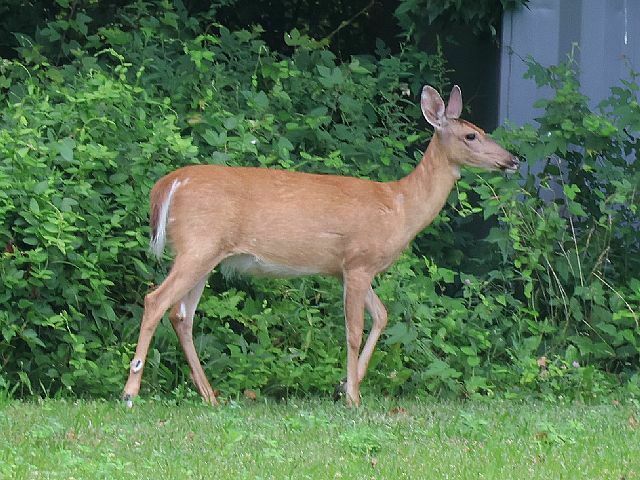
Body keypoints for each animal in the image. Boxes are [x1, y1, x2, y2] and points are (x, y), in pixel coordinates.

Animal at [122, 84, 516, 406]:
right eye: (470, 135)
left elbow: (382, 315)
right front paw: (354, 397)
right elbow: (354, 330)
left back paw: (209, 395)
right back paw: (130, 392)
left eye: (484, 131)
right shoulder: (358, 260)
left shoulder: (346, 268)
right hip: (198, 244)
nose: (513, 160)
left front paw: (346, 385)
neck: (400, 206)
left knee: (181, 315)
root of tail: (168, 185)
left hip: (205, 254)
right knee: (155, 300)